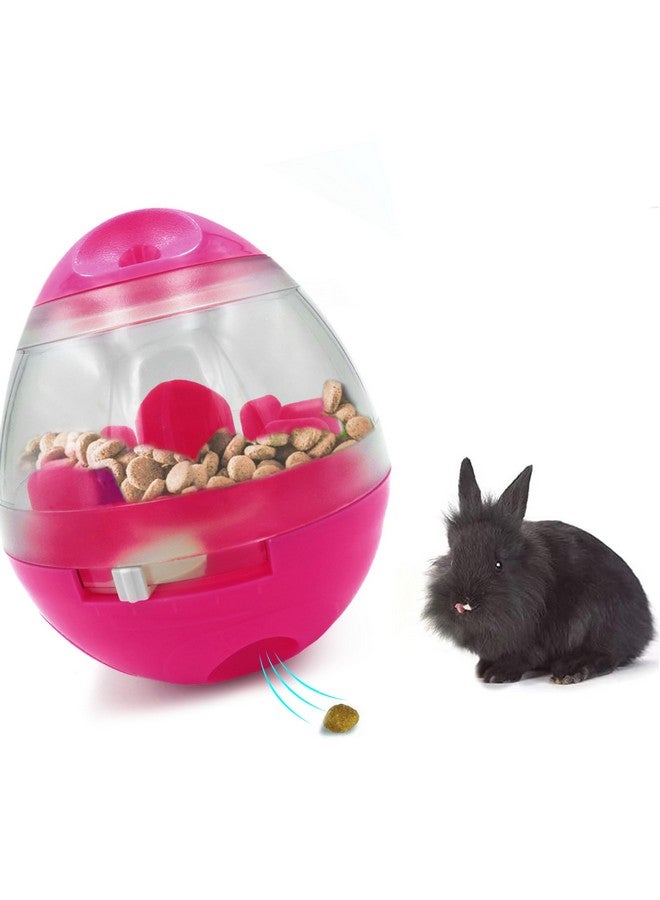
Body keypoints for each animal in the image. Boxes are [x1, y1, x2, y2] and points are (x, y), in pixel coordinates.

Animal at [424, 458, 654, 684]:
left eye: (498, 565)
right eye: (453, 560)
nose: (463, 603)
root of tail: (646, 627)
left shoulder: (536, 638)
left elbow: (524, 657)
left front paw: (498, 674)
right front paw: (483, 668)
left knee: (607, 656)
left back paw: (571, 671)